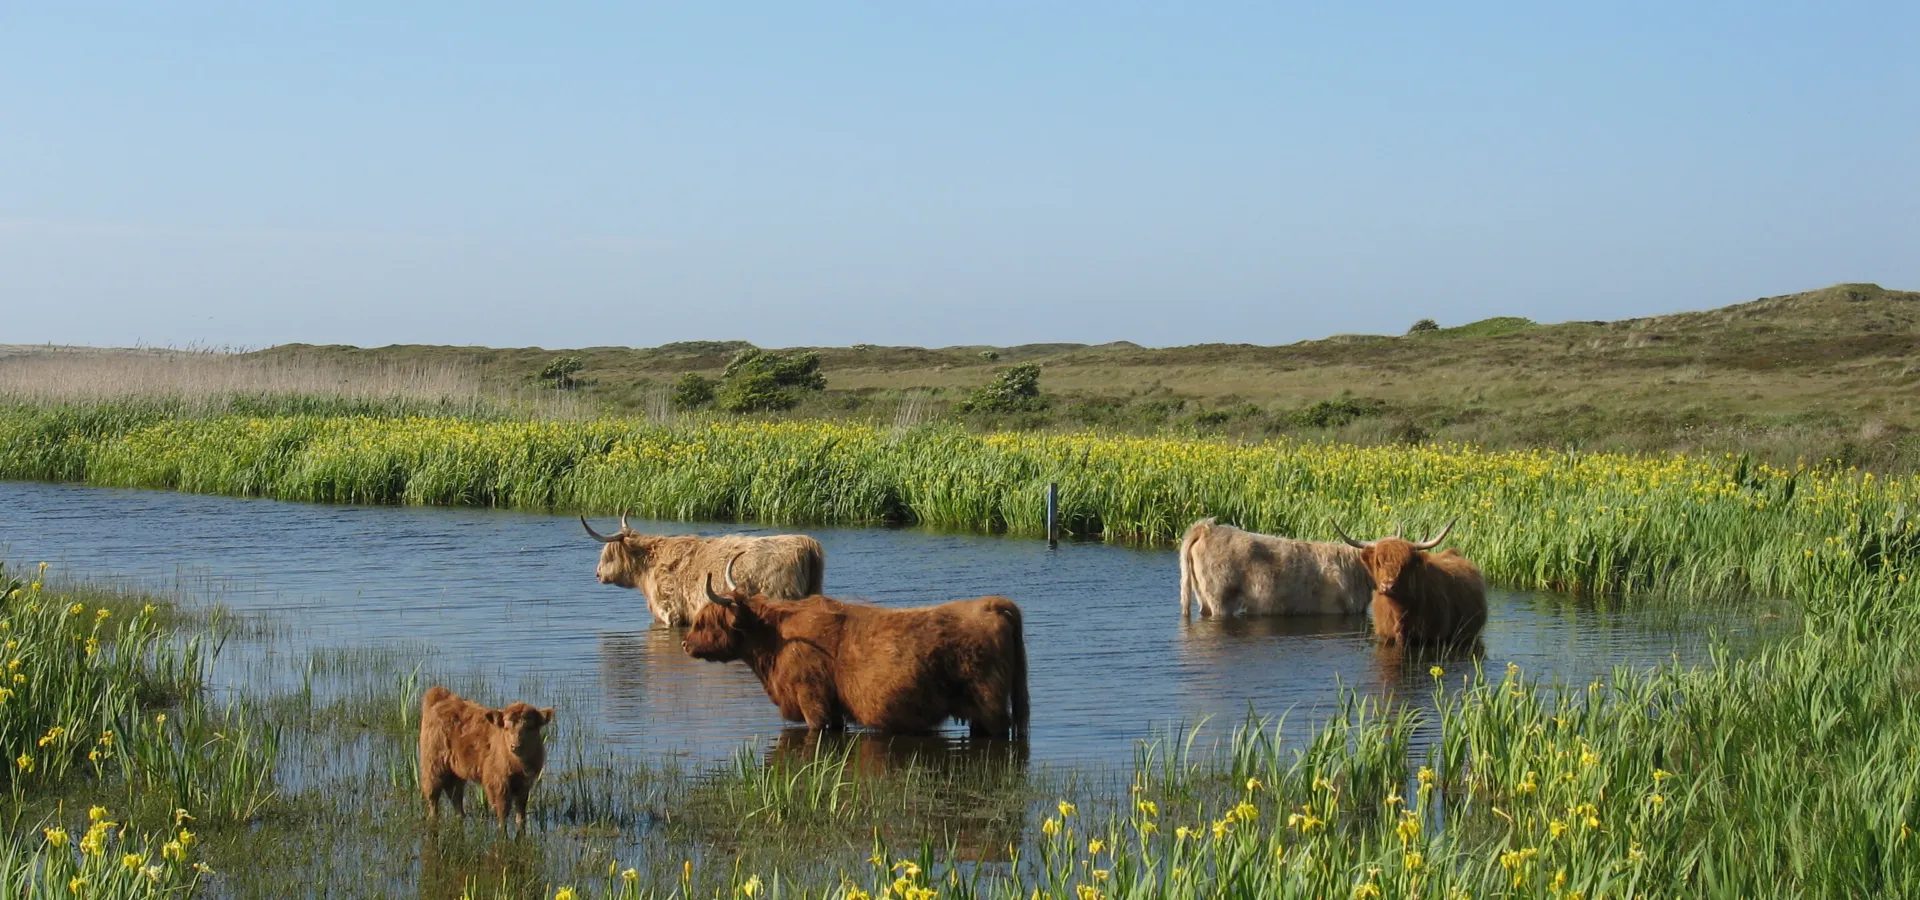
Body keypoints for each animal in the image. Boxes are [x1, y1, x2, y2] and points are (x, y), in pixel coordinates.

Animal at [420, 686, 556, 828]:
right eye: (506, 728)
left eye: (530, 727)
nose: (515, 746)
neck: (519, 765)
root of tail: (440, 695)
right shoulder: (498, 783)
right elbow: (503, 812)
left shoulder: (525, 785)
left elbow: (521, 814)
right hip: (433, 765)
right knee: (433, 796)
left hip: (456, 771)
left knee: (455, 796)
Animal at [683, 552, 1029, 736]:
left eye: (705, 621)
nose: (686, 644)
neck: (776, 640)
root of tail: (991, 604)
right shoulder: (834, 712)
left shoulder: (813, 703)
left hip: (990, 705)